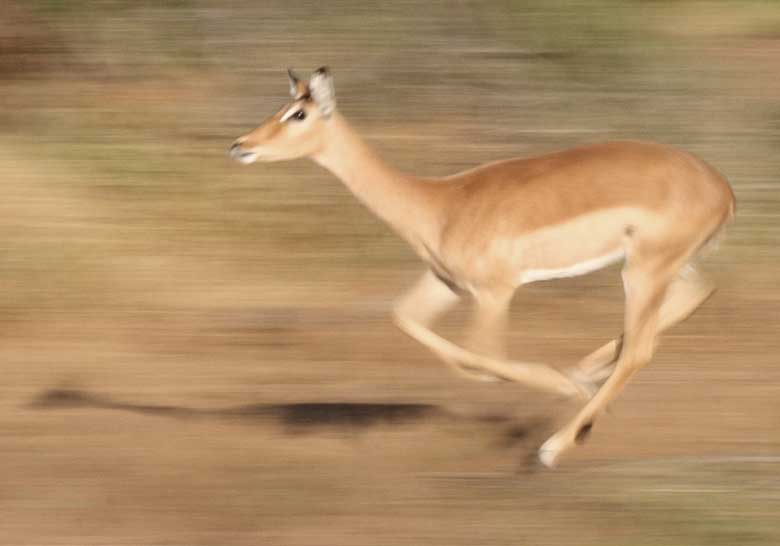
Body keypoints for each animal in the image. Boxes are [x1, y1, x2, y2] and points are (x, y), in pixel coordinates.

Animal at [229, 65, 736, 464]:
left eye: (298, 114)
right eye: (283, 106)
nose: (240, 145)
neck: (439, 204)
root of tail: (723, 188)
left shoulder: (496, 291)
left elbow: (482, 354)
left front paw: (566, 392)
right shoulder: (446, 285)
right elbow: (409, 321)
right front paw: (574, 386)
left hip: (643, 270)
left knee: (640, 348)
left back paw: (553, 445)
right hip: (662, 268)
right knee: (692, 298)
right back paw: (583, 383)